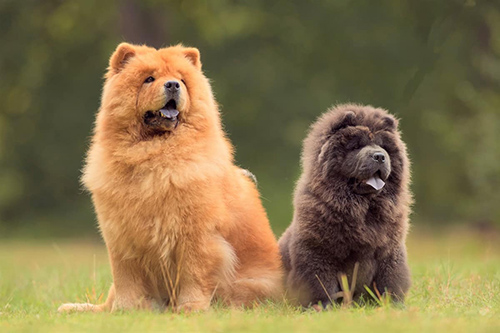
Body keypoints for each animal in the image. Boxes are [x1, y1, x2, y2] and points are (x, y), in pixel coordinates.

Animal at [57, 43, 284, 312]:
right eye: (149, 79)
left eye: (182, 80)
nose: (173, 84)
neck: (152, 155)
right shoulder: (120, 235)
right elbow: (125, 278)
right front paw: (124, 310)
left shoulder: (194, 234)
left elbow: (193, 273)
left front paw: (190, 308)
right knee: (105, 302)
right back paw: (75, 308)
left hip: (250, 285)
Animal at [280, 103, 412, 306]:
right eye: (356, 146)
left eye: (383, 147)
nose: (379, 156)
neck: (363, 210)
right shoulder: (317, 251)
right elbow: (320, 281)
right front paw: (322, 306)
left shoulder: (389, 251)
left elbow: (390, 279)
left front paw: (393, 305)